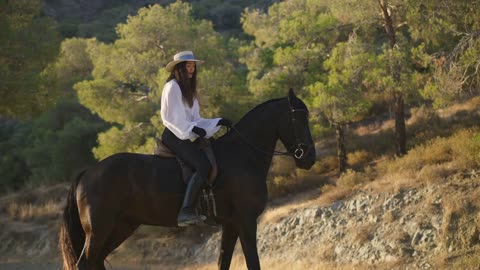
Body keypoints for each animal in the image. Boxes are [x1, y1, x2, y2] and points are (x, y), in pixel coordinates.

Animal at [59, 88, 316, 268]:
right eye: (299, 119)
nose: (309, 158)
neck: (242, 155)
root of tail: (88, 172)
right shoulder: (245, 220)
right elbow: (253, 263)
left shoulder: (231, 224)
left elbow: (224, 262)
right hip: (99, 230)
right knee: (85, 264)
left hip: (122, 227)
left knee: (96, 262)